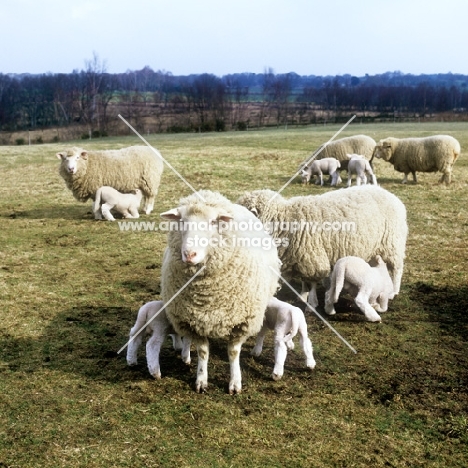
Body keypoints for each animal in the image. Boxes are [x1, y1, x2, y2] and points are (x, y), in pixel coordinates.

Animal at [159, 190, 280, 394]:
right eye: (182, 221)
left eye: (213, 222)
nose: (189, 254)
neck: (207, 295)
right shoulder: (193, 320)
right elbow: (203, 351)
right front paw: (201, 380)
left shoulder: (241, 321)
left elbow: (233, 352)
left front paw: (235, 383)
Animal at [238, 185, 406, 308]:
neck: (284, 220)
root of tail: (391, 195)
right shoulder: (300, 258)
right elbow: (304, 281)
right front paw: (302, 296)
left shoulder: (311, 257)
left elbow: (311, 281)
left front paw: (311, 302)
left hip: (393, 243)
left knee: (397, 269)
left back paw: (394, 291)